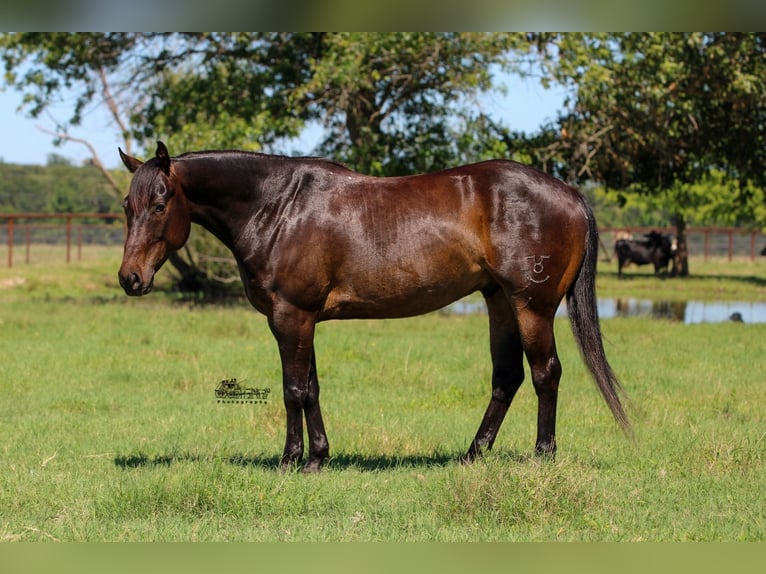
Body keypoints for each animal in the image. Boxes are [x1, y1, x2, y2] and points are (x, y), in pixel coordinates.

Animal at [118, 143, 632, 472]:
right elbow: (312, 388)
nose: (130, 278)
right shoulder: (304, 319)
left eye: (160, 204)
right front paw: (318, 457)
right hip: (500, 302)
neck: (278, 207)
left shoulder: (290, 316)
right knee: (508, 377)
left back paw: (543, 455)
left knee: (546, 374)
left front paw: (290, 461)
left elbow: (292, 390)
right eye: (127, 205)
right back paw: (471, 455)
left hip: (532, 308)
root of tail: (570, 193)